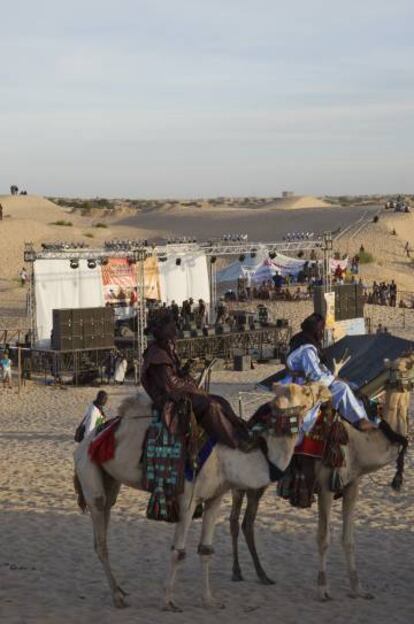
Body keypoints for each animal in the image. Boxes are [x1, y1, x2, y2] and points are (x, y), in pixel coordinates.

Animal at [72, 380, 330, 608]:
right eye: (306, 391)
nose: (326, 391)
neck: (229, 457)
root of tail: (84, 444)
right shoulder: (187, 500)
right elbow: (178, 552)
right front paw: (168, 602)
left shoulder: (215, 498)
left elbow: (206, 550)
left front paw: (209, 600)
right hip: (90, 477)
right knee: (101, 540)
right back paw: (117, 596)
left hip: (110, 482)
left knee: (104, 524)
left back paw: (120, 590)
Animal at [230, 352, 410, 600]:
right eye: (409, 365)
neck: (358, 443)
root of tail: (248, 423)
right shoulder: (326, 486)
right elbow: (324, 538)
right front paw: (323, 589)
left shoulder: (352, 485)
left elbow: (349, 539)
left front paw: (358, 589)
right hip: (244, 480)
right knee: (236, 520)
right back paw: (239, 572)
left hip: (255, 484)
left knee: (246, 522)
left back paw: (260, 575)